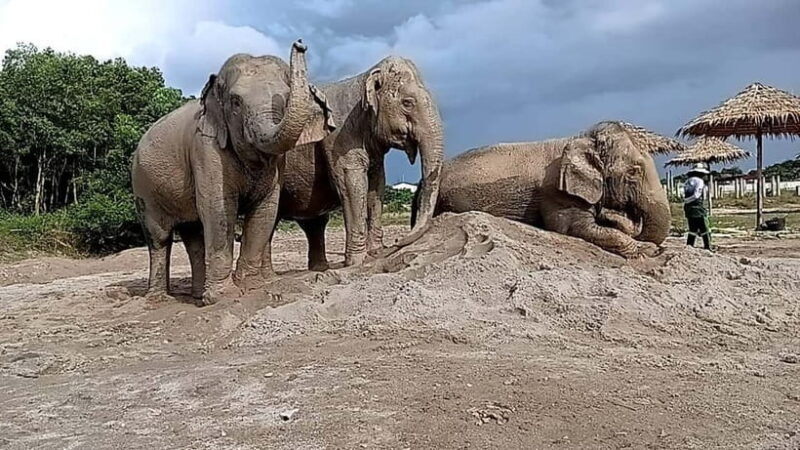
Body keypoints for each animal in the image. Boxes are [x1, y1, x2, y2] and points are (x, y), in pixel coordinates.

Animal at [131, 40, 334, 306]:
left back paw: (197, 295)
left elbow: (266, 209)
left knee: (193, 235)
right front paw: (223, 297)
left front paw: (252, 287)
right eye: (236, 101)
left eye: (286, 97)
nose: (300, 44)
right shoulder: (205, 150)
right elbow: (218, 209)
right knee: (159, 238)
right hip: (143, 189)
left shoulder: (277, 165)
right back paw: (159, 299)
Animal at [270, 56, 444, 271]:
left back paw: (320, 269)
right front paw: (356, 262)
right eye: (407, 103)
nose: (397, 242)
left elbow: (377, 183)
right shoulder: (339, 138)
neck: (364, 77)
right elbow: (352, 184)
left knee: (313, 225)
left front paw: (376, 253)